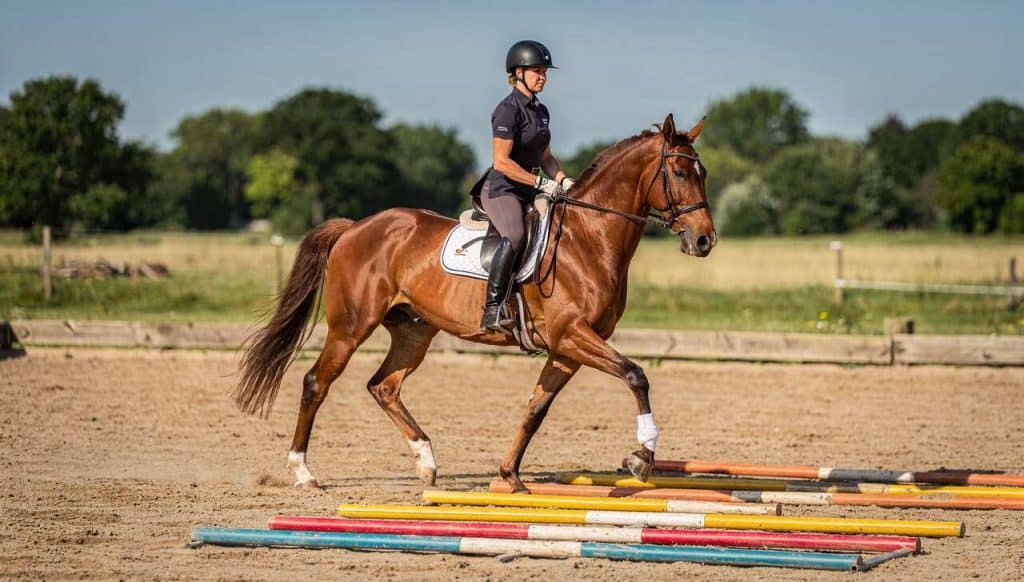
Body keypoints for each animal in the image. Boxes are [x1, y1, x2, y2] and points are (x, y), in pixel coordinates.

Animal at [233, 113, 716, 493]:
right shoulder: (573, 336)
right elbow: (636, 375)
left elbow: (536, 409)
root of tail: (355, 227)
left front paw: (510, 476)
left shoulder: (567, 349)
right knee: (317, 382)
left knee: (384, 386)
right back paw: (303, 472)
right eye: (678, 173)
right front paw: (642, 457)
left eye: (704, 173)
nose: (705, 240)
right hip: (350, 327)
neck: (588, 238)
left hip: (413, 331)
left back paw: (427, 462)